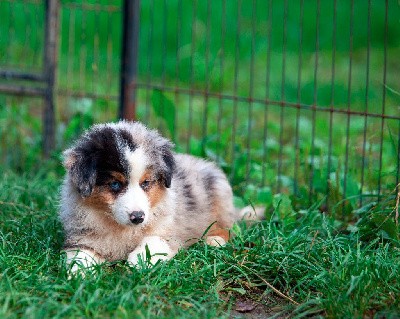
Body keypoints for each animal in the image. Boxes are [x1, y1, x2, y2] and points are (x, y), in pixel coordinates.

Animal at [60, 121, 241, 274]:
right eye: (115, 184)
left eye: (146, 182)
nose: (138, 217)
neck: (121, 228)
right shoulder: (83, 237)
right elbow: (80, 257)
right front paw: (78, 275)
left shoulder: (168, 231)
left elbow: (152, 241)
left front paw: (139, 262)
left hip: (220, 194)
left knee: (229, 228)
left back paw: (214, 240)